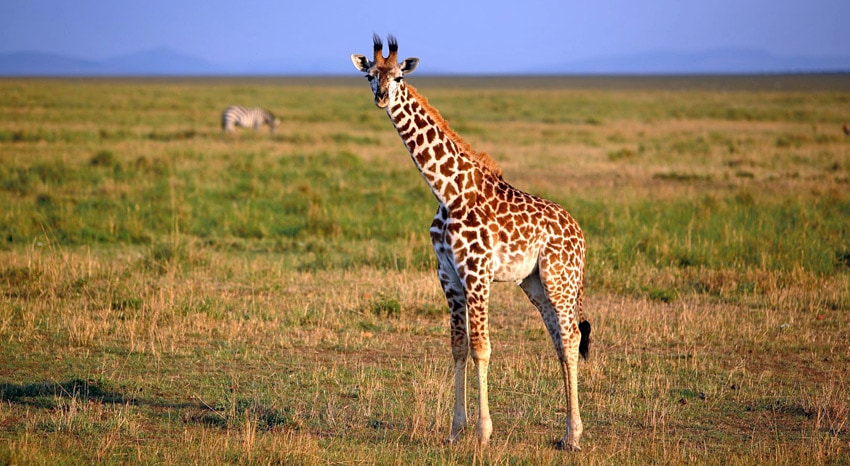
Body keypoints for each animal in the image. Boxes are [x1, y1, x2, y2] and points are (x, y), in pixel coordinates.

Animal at [351, 35, 591, 450]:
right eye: (370, 75)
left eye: (398, 76)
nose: (381, 97)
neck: (447, 191)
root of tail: (580, 234)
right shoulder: (447, 275)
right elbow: (459, 347)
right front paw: (454, 430)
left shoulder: (476, 273)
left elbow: (482, 347)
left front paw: (482, 432)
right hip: (535, 284)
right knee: (561, 341)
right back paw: (565, 434)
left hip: (560, 280)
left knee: (572, 337)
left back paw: (574, 435)